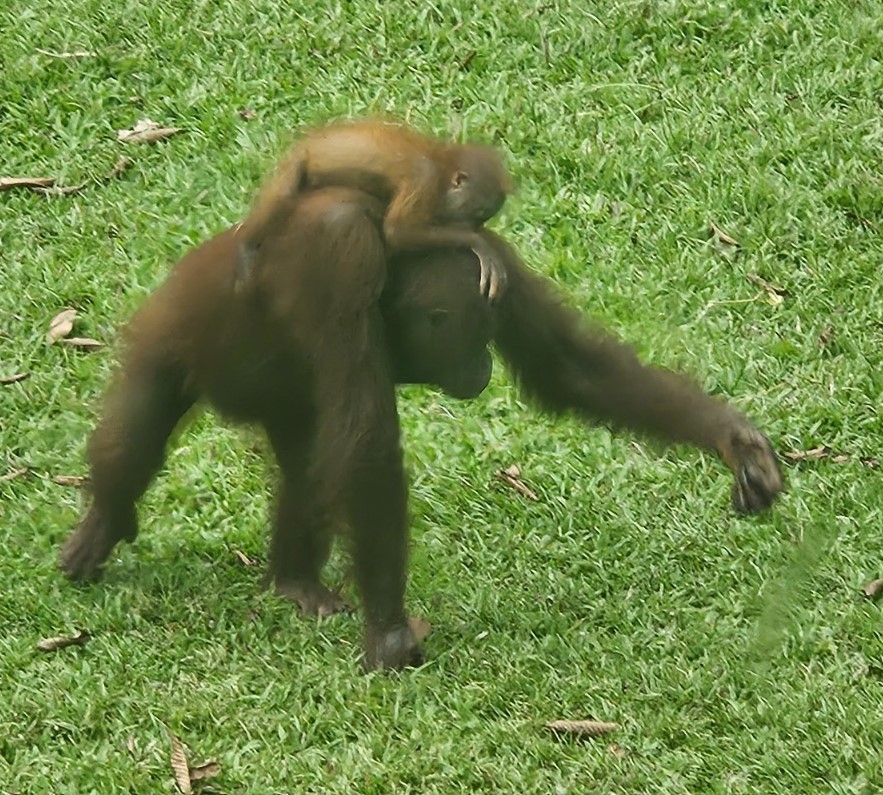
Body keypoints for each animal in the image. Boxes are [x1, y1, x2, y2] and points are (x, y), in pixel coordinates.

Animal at [59, 186, 784, 672]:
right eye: (473, 336)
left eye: (492, 333)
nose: (485, 365)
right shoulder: (341, 266)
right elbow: (367, 437)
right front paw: (387, 633)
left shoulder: (496, 261)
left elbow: (567, 368)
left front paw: (734, 442)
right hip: (167, 329)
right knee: (138, 434)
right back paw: (105, 519)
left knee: (306, 463)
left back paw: (294, 580)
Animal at [236, 119, 514, 300]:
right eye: (478, 216)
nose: (475, 227)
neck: (442, 166)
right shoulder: (423, 182)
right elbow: (397, 231)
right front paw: (477, 242)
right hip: (298, 162)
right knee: (283, 194)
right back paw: (246, 249)